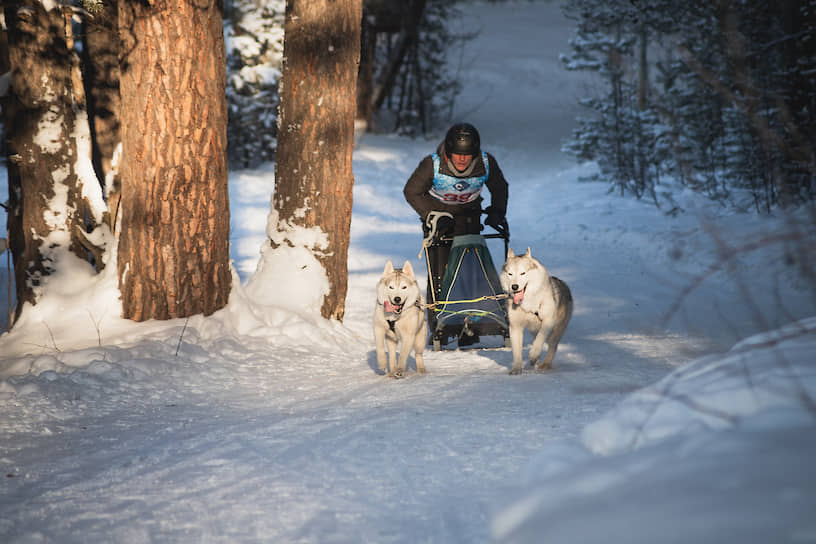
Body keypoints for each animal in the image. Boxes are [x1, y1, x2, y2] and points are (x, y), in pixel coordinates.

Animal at [498, 246, 572, 374]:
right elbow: (516, 351)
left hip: (556, 330)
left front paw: (533, 353)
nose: (514, 287)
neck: (527, 303)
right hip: (534, 330)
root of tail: (564, 285)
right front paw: (516, 369)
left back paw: (545, 364)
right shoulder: (515, 327)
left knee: (552, 345)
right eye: (510, 274)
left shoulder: (548, 321)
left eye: (523, 273)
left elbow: (540, 339)